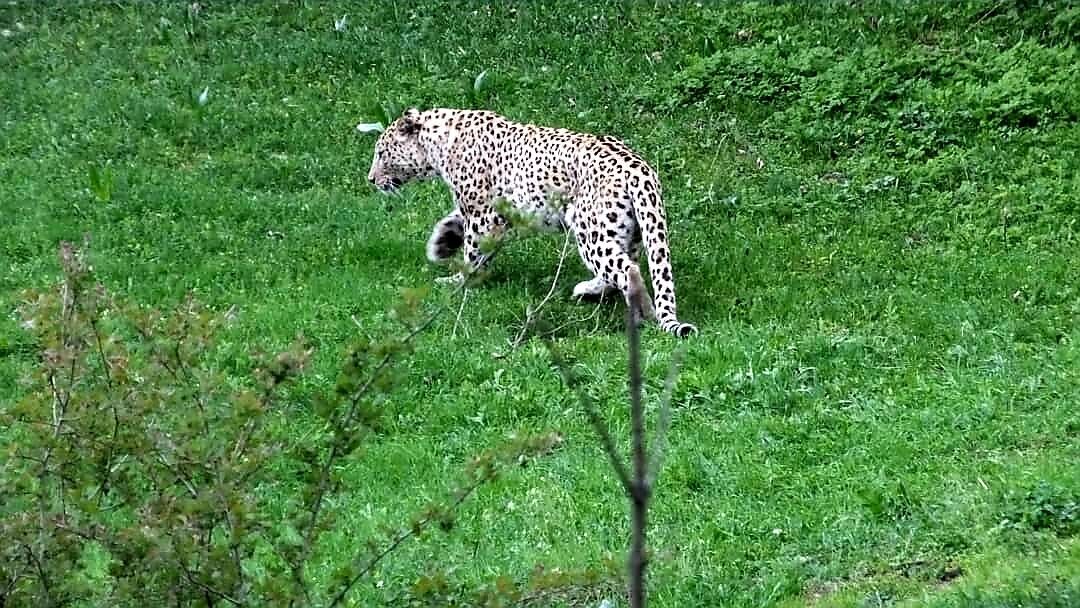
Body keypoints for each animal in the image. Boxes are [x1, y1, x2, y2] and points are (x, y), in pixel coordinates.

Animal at [367, 107, 695, 336]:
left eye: (382, 153)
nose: (370, 179)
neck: (438, 144)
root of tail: (639, 169)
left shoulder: (483, 214)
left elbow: (474, 252)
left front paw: (459, 281)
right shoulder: (483, 210)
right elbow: (454, 221)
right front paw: (441, 244)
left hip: (590, 230)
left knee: (628, 270)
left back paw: (642, 313)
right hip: (629, 229)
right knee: (622, 265)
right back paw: (589, 291)